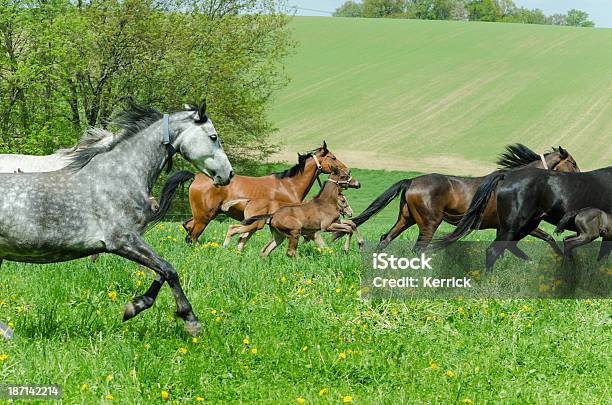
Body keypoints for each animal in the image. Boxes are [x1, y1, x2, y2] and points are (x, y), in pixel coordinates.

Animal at [0, 101, 233, 334]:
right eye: (213, 137)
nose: (228, 174)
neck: (119, 176)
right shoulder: (123, 241)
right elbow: (169, 270)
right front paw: (190, 321)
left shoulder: (133, 239)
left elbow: (161, 271)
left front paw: (134, 307)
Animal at [182, 141, 350, 243]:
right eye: (333, 157)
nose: (347, 171)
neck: (289, 185)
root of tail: (196, 176)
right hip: (204, 217)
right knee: (192, 236)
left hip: (203, 216)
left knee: (187, 227)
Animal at [340, 145, 580, 251]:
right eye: (573, 163)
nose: (581, 177)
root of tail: (411, 181)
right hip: (429, 223)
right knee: (418, 248)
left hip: (406, 219)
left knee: (385, 239)